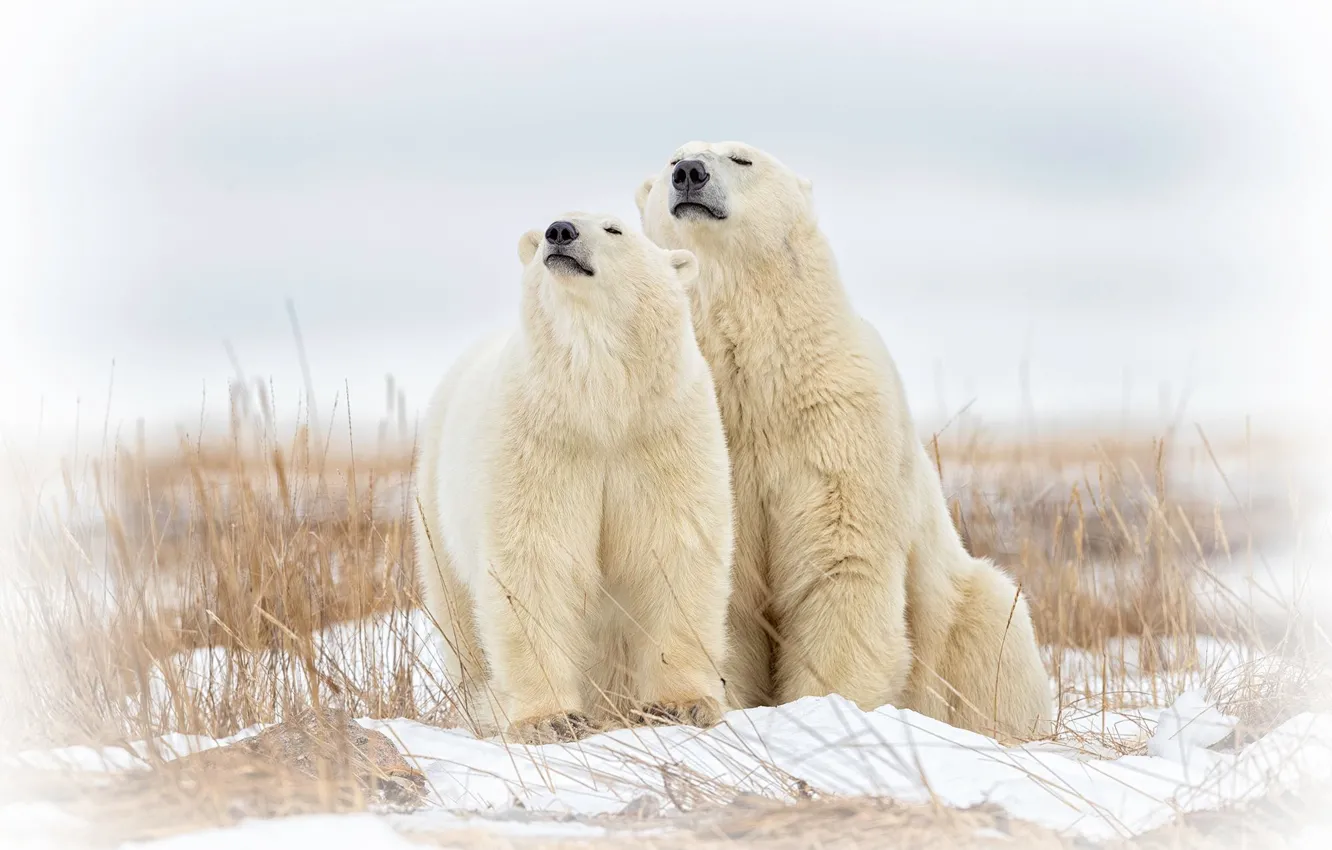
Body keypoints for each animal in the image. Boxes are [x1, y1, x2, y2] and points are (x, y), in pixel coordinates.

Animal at [412, 213, 734, 744]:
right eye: (548, 224)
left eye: (614, 229)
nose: (560, 232)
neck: (598, 403)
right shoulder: (540, 442)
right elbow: (534, 563)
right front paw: (550, 719)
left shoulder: (662, 434)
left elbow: (674, 550)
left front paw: (680, 705)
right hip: (434, 504)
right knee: (457, 616)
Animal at [636, 142, 1054, 741]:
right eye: (672, 158)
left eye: (741, 158)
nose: (690, 174)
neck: (760, 379)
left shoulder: (838, 419)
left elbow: (840, 560)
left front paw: (826, 707)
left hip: (967, 614)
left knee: (997, 627)